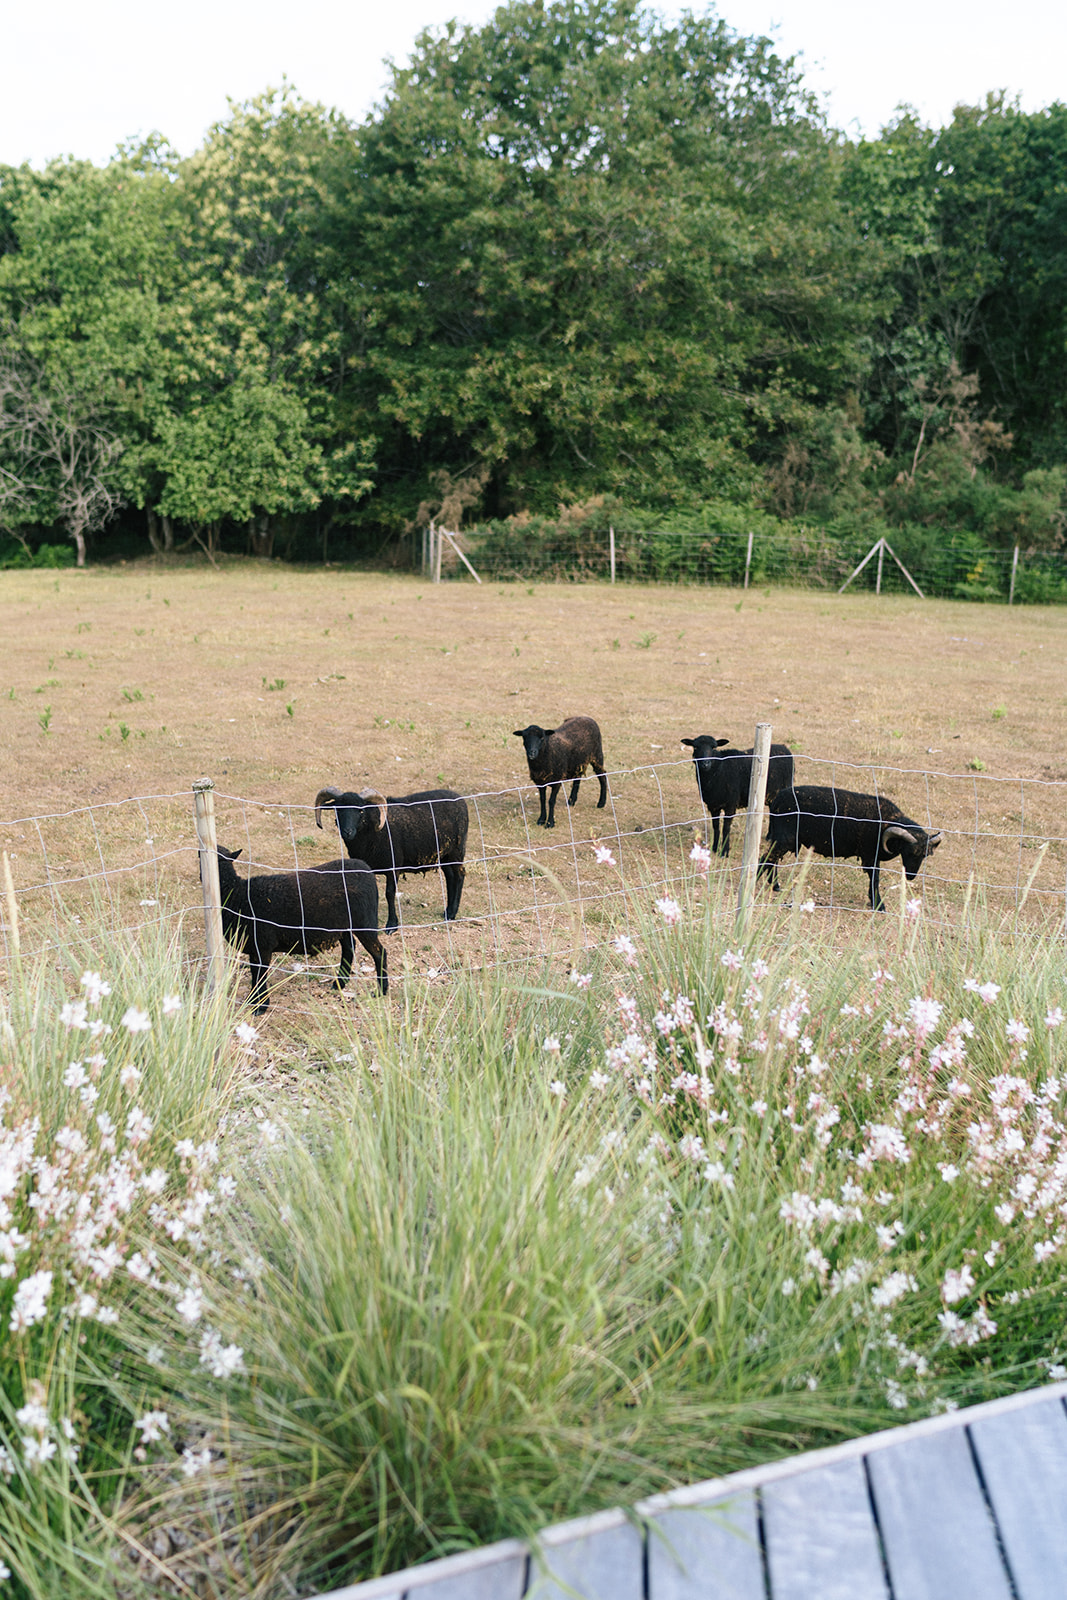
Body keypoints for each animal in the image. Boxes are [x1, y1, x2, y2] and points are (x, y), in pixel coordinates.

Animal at [207, 838, 388, 1011]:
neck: (236, 894)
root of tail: (366, 869)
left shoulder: (262, 946)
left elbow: (260, 975)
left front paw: (261, 1006)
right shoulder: (254, 948)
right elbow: (255, 974)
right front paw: (253, 1001)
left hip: (365, 922)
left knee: (379, 952)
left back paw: (381, 991)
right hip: (341, 925)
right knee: (349, 947)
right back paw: (340, 983)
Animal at [315, 784, 470, 934]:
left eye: (361, 811)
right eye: (337, 809)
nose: (347, 832)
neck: (372, 830)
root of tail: (460, 799)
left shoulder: (393, 867)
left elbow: (389, 894)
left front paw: (391, 925)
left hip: (457, 850)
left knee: (460, 875)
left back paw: (452, 913)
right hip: (444, 854)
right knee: (450, 877)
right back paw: (447, 912)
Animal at [758, 787, 940, 915]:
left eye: (924, 855)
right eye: (909, 852)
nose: (911, 876)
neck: (886, 823)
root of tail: (776, 800)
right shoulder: (870, 855)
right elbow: (875, 879)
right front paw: (879, 905)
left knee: (772, 860)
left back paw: (775, 886)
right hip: (785, 838)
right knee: (765, 858)